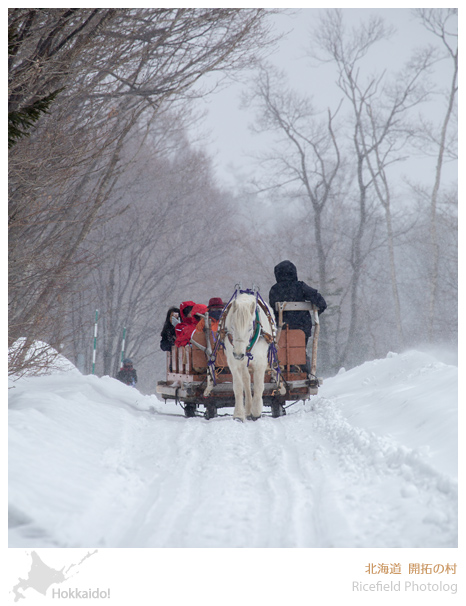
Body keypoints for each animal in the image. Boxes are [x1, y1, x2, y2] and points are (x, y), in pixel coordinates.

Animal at [223, 294, 274, 422]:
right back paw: (247, 409)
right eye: (232, 327)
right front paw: (238, 415)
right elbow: (238, 387)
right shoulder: (233, 362)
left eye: (250, 328)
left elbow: (258, 386)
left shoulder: (260, 362)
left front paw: (256, 412)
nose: (238, 354)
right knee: (246, 381)